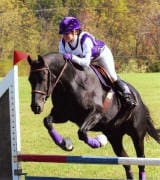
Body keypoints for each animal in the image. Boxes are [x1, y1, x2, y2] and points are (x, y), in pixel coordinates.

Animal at [27, 52, 160, 179]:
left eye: (43, 78)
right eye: (29, 79)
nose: (35, 107)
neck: (71, 82)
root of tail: (139, 101)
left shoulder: (96, 113)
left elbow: (81, 132)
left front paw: (98, 142)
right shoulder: (63, 115)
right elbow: (47, 121)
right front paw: (65, 144)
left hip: (137, 134)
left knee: (141, 161)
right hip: (115, 137)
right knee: (126, 161)